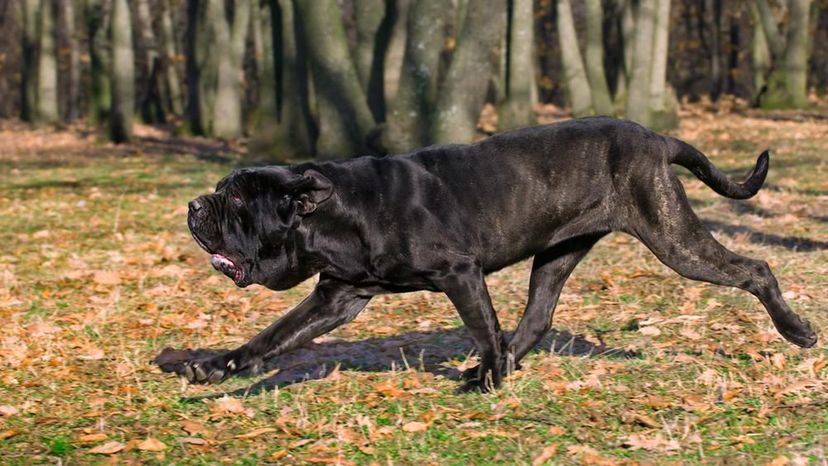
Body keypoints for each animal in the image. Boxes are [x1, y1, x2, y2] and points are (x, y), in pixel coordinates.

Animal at [158, 114, 820, 392]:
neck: (336, 213)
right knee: (537, 317)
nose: (194, 205)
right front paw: (213, 369)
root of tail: (655, 137)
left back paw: (798, 332)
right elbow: (270, 338)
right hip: (556, 256)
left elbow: (481, 324)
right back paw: (496, 369)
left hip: (674, 240)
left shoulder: (459, 273)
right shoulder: (336, 297)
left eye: (236, 199)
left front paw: (488, 376)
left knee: (755, 268)